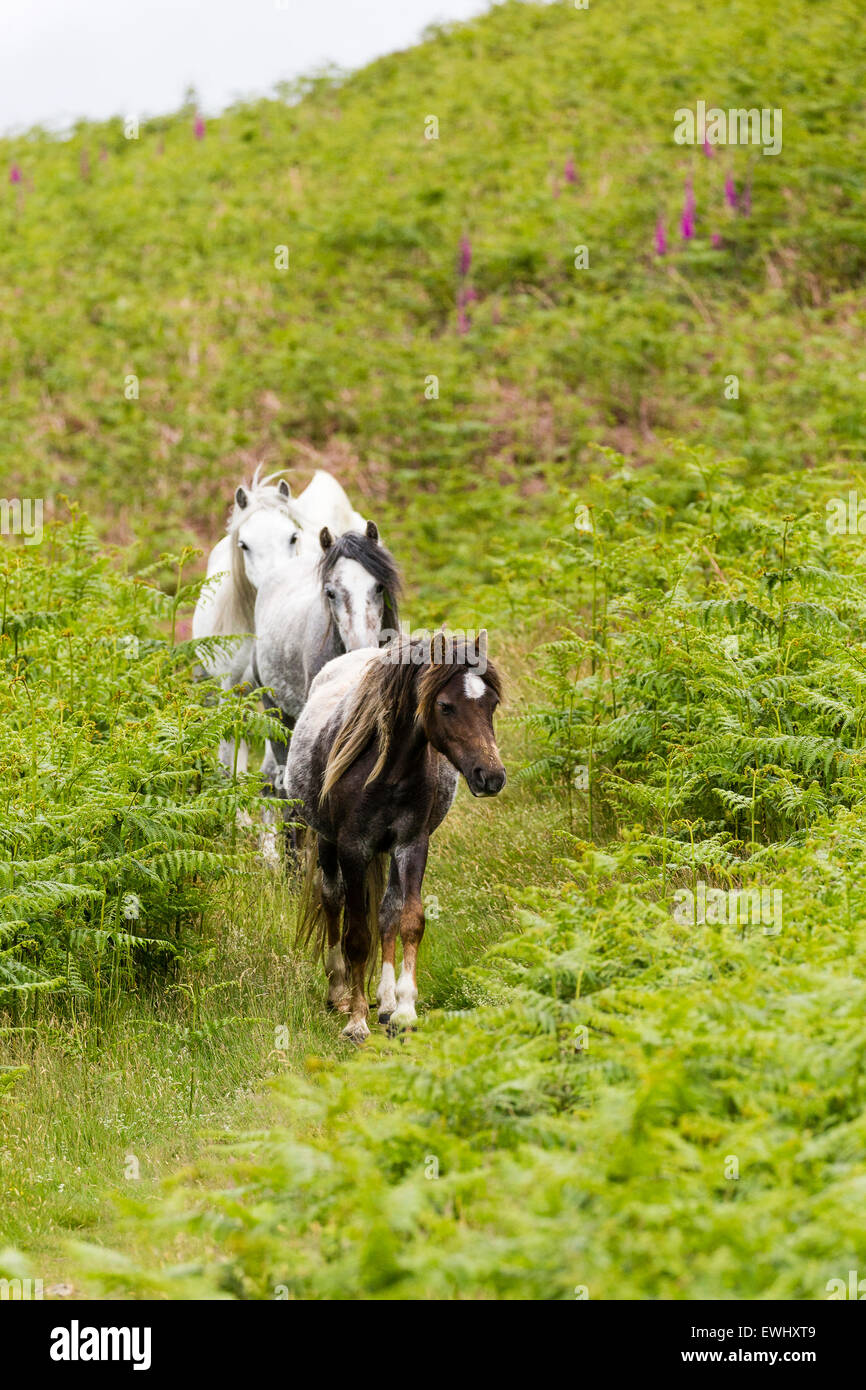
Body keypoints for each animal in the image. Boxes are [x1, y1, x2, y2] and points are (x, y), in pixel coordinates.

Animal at [284, 632, 505, 1043]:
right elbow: (357, 935)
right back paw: (338, 992)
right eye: (445, 706)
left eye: (491, 703)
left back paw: (385, 1003)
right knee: (332, 899)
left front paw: (404, 1010)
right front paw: (356, 1021)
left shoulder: (411, 844)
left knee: (386, 911)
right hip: (327, 843)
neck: (387, 769)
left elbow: (409, 919)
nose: (492, 776)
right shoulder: (353, 848)